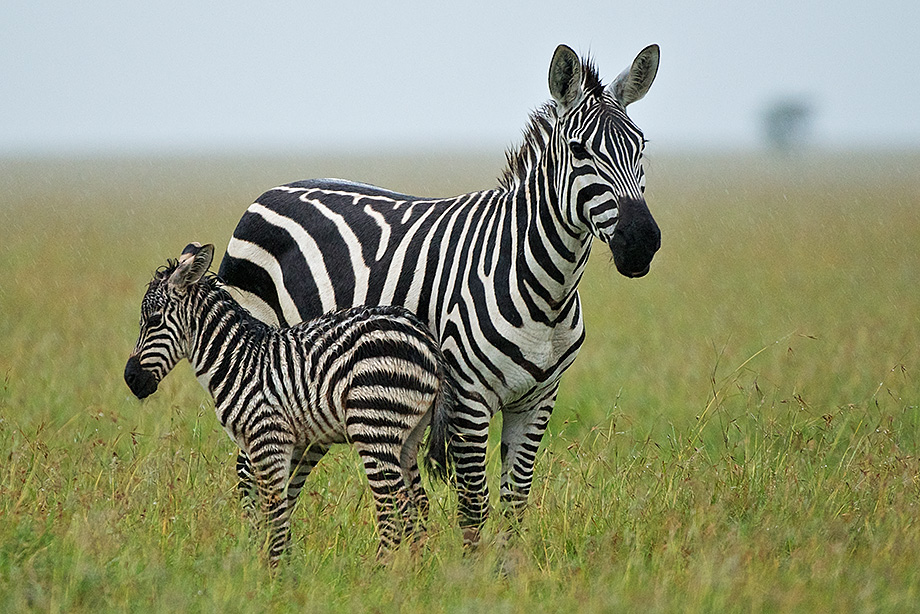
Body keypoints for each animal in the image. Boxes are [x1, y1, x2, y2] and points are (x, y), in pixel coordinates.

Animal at [122, 243, 452, 564]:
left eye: (153, 320)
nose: (130, 379)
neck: (235, 361)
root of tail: (424, 337)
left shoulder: (268, 437)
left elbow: (274, 509)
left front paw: (274, 569)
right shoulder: (284, 444)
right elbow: (274, 508)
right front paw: (278, 566)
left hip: (373, 424)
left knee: (394, 508)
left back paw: (378, 571)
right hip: (407, 436)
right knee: (417, 506)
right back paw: (412, 572)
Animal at [219, 45, 656, 548]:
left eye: (642, 146)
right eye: (579, 150)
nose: (642, 241)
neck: (546, 289)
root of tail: (272, 190)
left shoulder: (538, 401)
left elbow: (514, 505)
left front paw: (510, 567)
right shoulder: (467, 400)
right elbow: (474, 510)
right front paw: (473, 570)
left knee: (288, 473)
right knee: (251, 473)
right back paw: (254, 552)